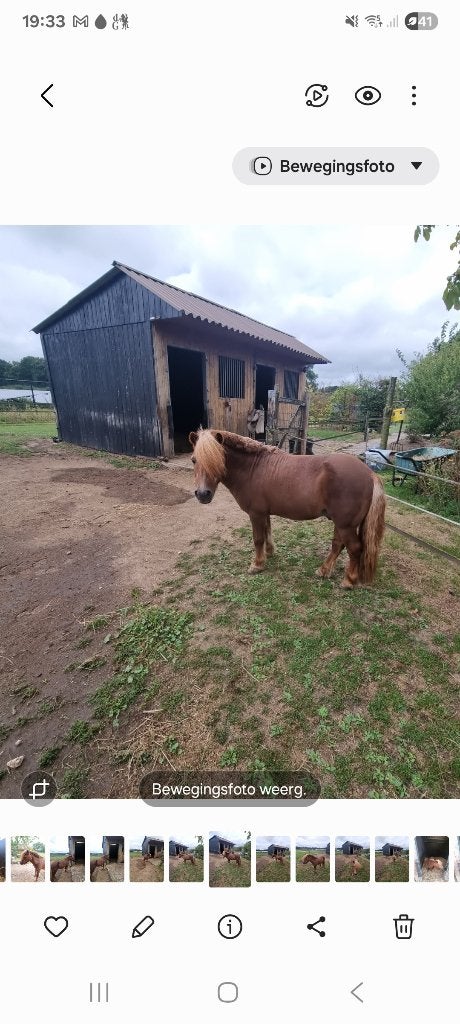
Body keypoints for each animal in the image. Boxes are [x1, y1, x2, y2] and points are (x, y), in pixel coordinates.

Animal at [189, 429, 385, 589]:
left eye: (218, 460)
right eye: (193, 460)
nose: (203, 494)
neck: (253, 468)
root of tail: (370, 474)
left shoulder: (255, 514)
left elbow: (258, 539)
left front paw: (257, 565)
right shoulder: (264, 513)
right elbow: (267, 532)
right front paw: (269, 553)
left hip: (346, 525)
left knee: (355, 548)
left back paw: (348, 581)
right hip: (341, 523)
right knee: (338, 545)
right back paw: (323, 571)